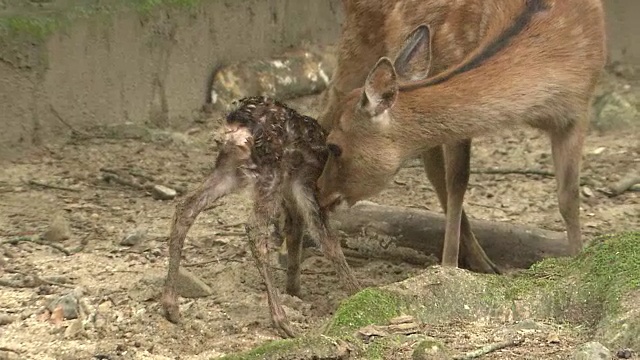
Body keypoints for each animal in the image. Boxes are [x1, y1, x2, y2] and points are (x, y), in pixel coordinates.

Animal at [318, 0, 608, 270]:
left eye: (335, 147)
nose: (321, 191)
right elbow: (458, 182)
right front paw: (449, 268)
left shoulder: (577, 112)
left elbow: (569, 196)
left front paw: (579, 260)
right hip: (358, 37)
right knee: (323, 109)